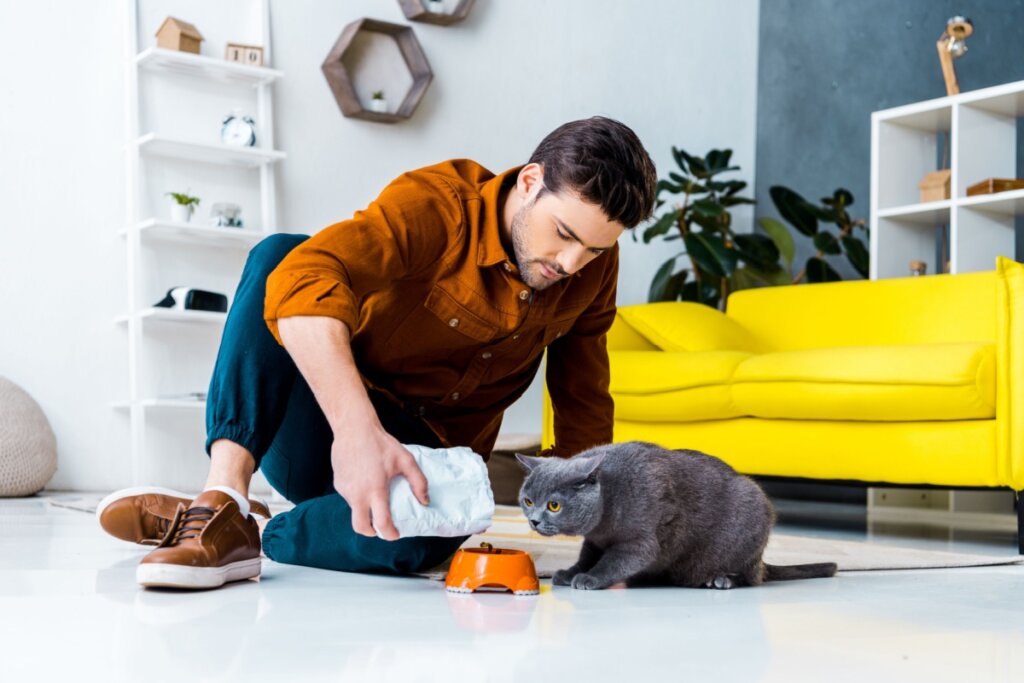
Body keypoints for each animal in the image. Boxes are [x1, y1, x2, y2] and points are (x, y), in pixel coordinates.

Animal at [516, 440, 835, 589]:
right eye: (528, 501)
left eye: (553, 506)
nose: (534, 520)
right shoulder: (595, 539)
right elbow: (587, 556)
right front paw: (570, 572)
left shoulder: (639, 540)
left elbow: (613, 561)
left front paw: (590, 578)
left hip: (750, 518)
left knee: (750, 576)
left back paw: (721, 580)